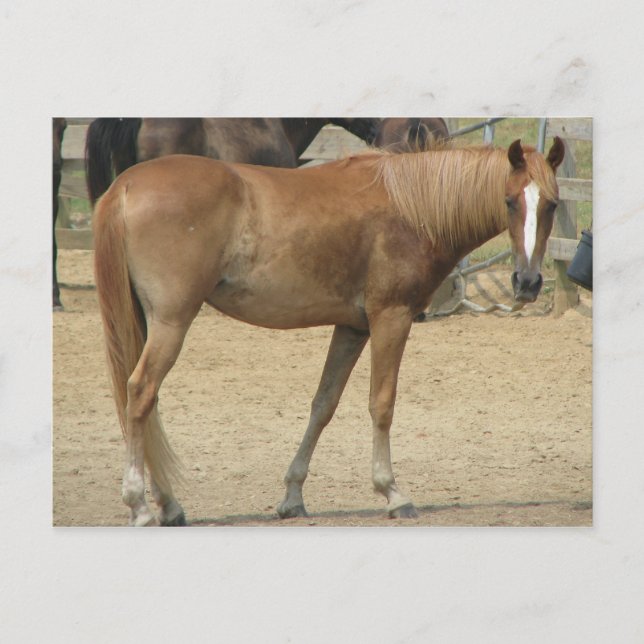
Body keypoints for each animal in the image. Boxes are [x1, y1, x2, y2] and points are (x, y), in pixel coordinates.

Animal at [92, 135, 564, 526]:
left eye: (552, 205)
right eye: (509, 201)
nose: (527, 283)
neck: (412, 210)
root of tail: (125, 186)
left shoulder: (351, 328)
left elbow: (323, 405)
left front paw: (292, 496)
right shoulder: (391, 318)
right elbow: (382, 404)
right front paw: (392, 493)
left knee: (147, 402)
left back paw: (168, 504)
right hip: (171, 322)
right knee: (140, 393)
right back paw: (140, 505)